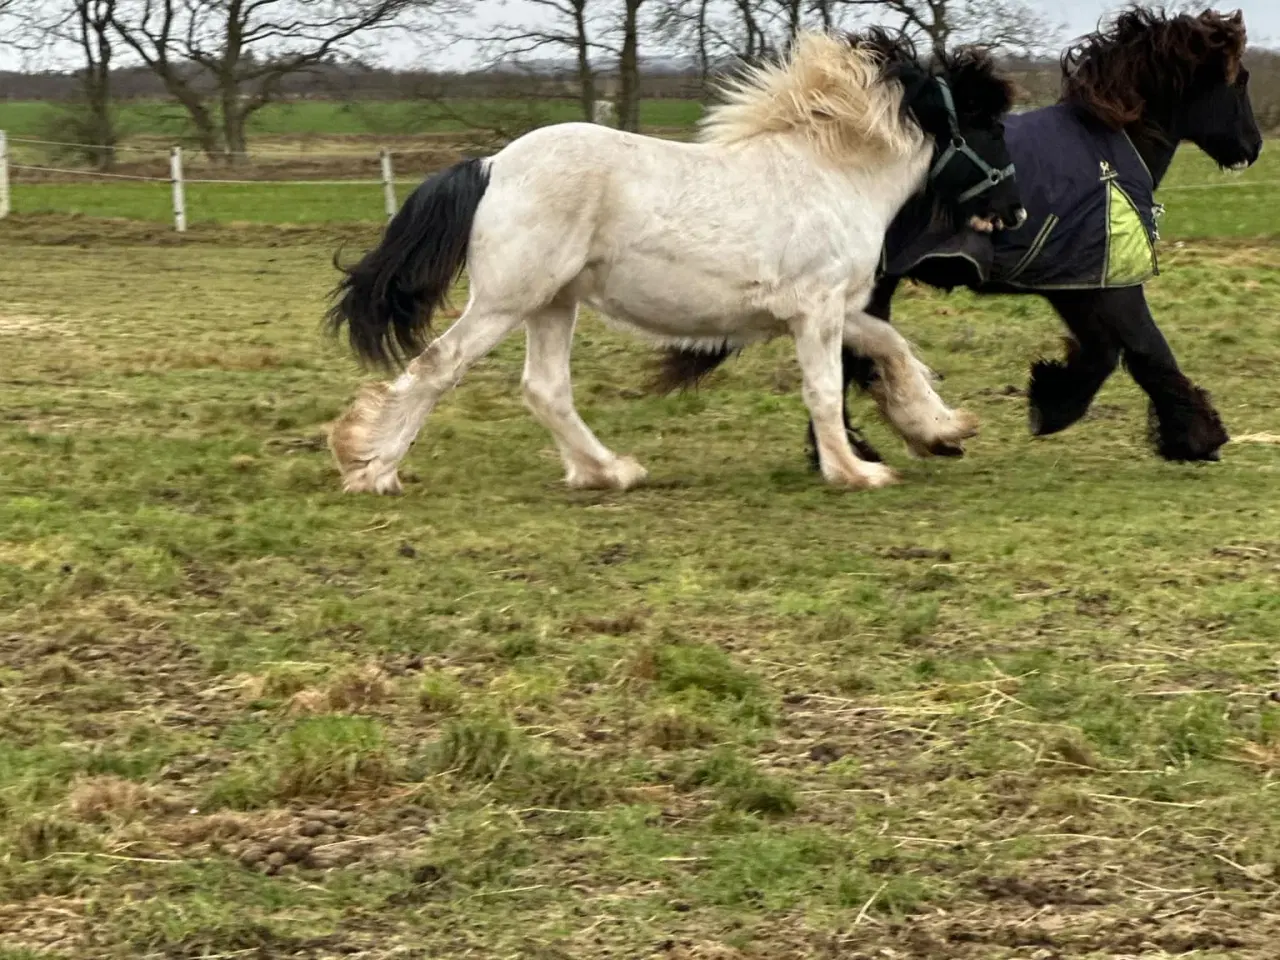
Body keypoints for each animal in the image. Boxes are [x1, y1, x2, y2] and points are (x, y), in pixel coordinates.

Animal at [327, 30, 1018, 496]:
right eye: (991, 128)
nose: (1013, 211)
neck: (832, 174)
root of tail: (492, 165)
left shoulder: (830, 310)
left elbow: (892, 349)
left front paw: (940, 430)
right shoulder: (817, 310)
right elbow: (824, 390)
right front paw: (856, 471)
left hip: (554, 303)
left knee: (545, 389)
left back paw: (609, 471)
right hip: (508, 299)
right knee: (438, 366)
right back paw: (372, 469)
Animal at [655, 7, 1264, 465]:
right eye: (1237, 82)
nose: (1252, 147)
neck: (1110, 145)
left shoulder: (1076, 283)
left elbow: (1106, 352)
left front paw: (1050, 400)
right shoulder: (1110, 282)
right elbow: (1146, 350)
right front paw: (1198, 439)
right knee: (850, 357)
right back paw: (871, 445)